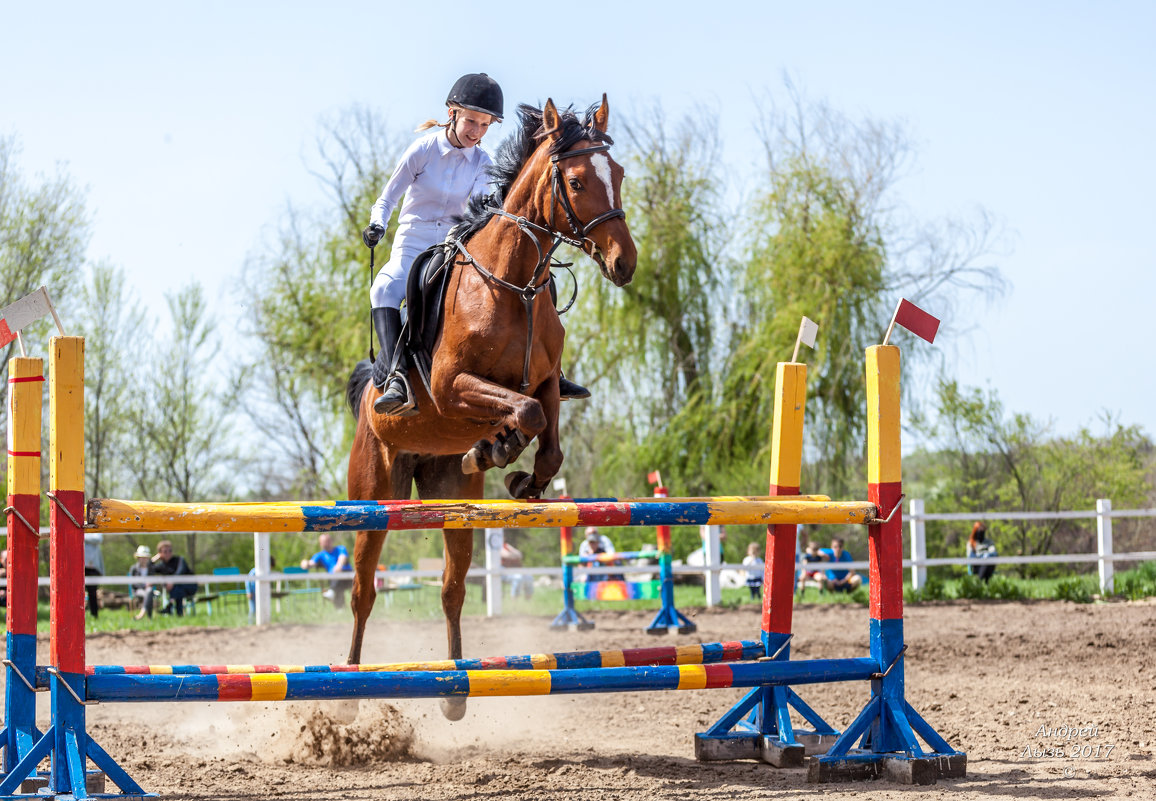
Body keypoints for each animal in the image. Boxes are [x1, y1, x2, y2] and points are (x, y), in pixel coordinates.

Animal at [342, 95, 638, 716]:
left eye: (618, 175)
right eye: (577, 181)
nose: (625, 263)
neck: (512, 282)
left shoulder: (545, 381)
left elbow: (546, 437)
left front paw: (514, 471)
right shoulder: (453, 385)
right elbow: (522, 414)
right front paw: (497, 449)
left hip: (452, 503)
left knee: (453, 589)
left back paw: (455, 690)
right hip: (373, 497)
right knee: (362, 592)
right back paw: (349, 692)